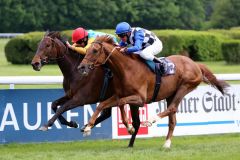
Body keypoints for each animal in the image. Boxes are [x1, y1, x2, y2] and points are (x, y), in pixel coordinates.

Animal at [78, 35, 229, 149]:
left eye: (95, 50)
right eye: (87, 49)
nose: (81, 67)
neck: (126, 69)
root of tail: (195, 64)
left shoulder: (140, 99)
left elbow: (121, 103)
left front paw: (129, 127)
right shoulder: (119, 94)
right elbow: (102, 104)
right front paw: (88, 127)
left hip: (185, 87)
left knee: (172, 108)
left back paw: (151, 120)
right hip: (171, 94)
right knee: (172, 118)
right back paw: (167, 143)